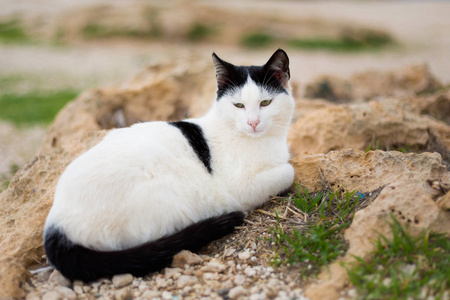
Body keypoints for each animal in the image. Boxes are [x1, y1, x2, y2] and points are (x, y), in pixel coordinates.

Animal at [43, 48, 296, 282]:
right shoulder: (243, 187)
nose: (253, 122)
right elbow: (288, 170)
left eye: (266, 102)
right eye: (238, 105)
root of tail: (56, 223)